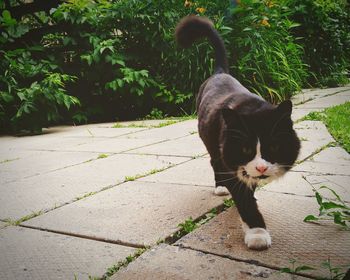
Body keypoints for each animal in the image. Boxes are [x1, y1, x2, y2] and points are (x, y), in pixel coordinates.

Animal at [175, 16, 300, 250]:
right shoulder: (229, 159)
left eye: (274, 146)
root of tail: (220, 73)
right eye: (245, 149)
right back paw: (221, 188)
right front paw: (257, 232)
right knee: (214, 161)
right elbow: (244, 198)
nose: (261, 167)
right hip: (212, 143)